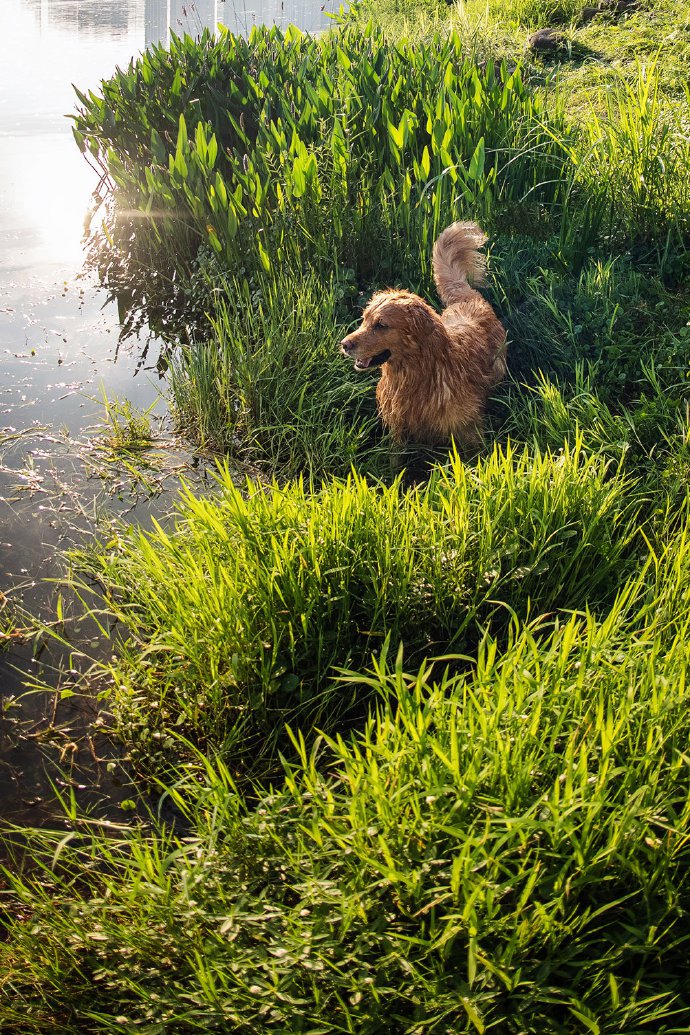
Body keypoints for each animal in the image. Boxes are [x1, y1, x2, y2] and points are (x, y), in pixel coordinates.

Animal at [341, 222, 506, 449]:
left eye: (381, 324)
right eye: (364, 319)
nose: (344, 344)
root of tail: (466, 297)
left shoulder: (469, 431)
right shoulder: (398, 431)